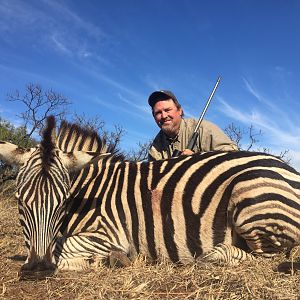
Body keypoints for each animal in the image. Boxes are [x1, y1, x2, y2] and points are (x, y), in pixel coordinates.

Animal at [0, 116, 300, 278]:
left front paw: (109, 260)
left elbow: (65, 246)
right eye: (19, 200)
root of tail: (289, 169)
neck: (90, 192)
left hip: (250, 198)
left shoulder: (112, 234)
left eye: (62, 202)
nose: (38, 269)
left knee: (265, 257)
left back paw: (212, 256)